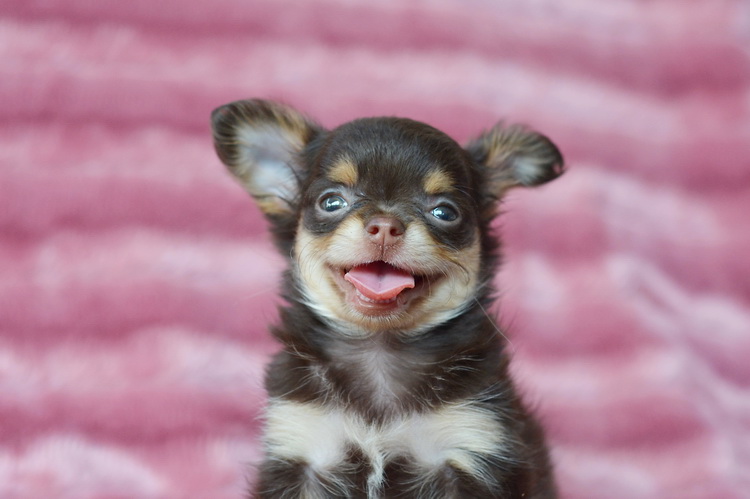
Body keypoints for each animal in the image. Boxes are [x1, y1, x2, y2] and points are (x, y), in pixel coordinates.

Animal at [211, 99, 564, 498]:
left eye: (445, 212)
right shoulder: (302, 450)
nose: (384, 225)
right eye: (331, 202)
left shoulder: (473, 443)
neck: (379, 347)